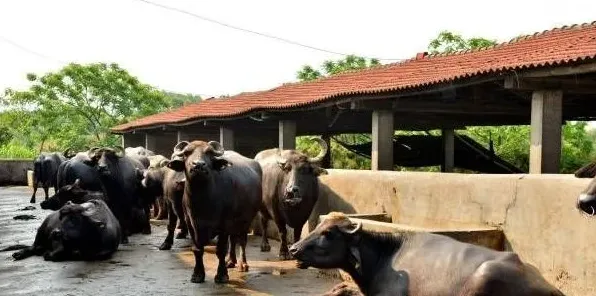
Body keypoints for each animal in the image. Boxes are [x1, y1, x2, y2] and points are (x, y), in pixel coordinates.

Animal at [166, 140, 262, 284]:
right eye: (187, 153)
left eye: (209, 153)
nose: (198, 165)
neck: (203, 201)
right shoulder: (191, 223)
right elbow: (197, 249)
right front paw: (197, 274)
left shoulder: (224, 223)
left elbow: (221, 250)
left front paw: (222, 275)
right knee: (233, 240)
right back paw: (230, 261)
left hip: (246, 219)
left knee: (241, 241)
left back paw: (242, 264)